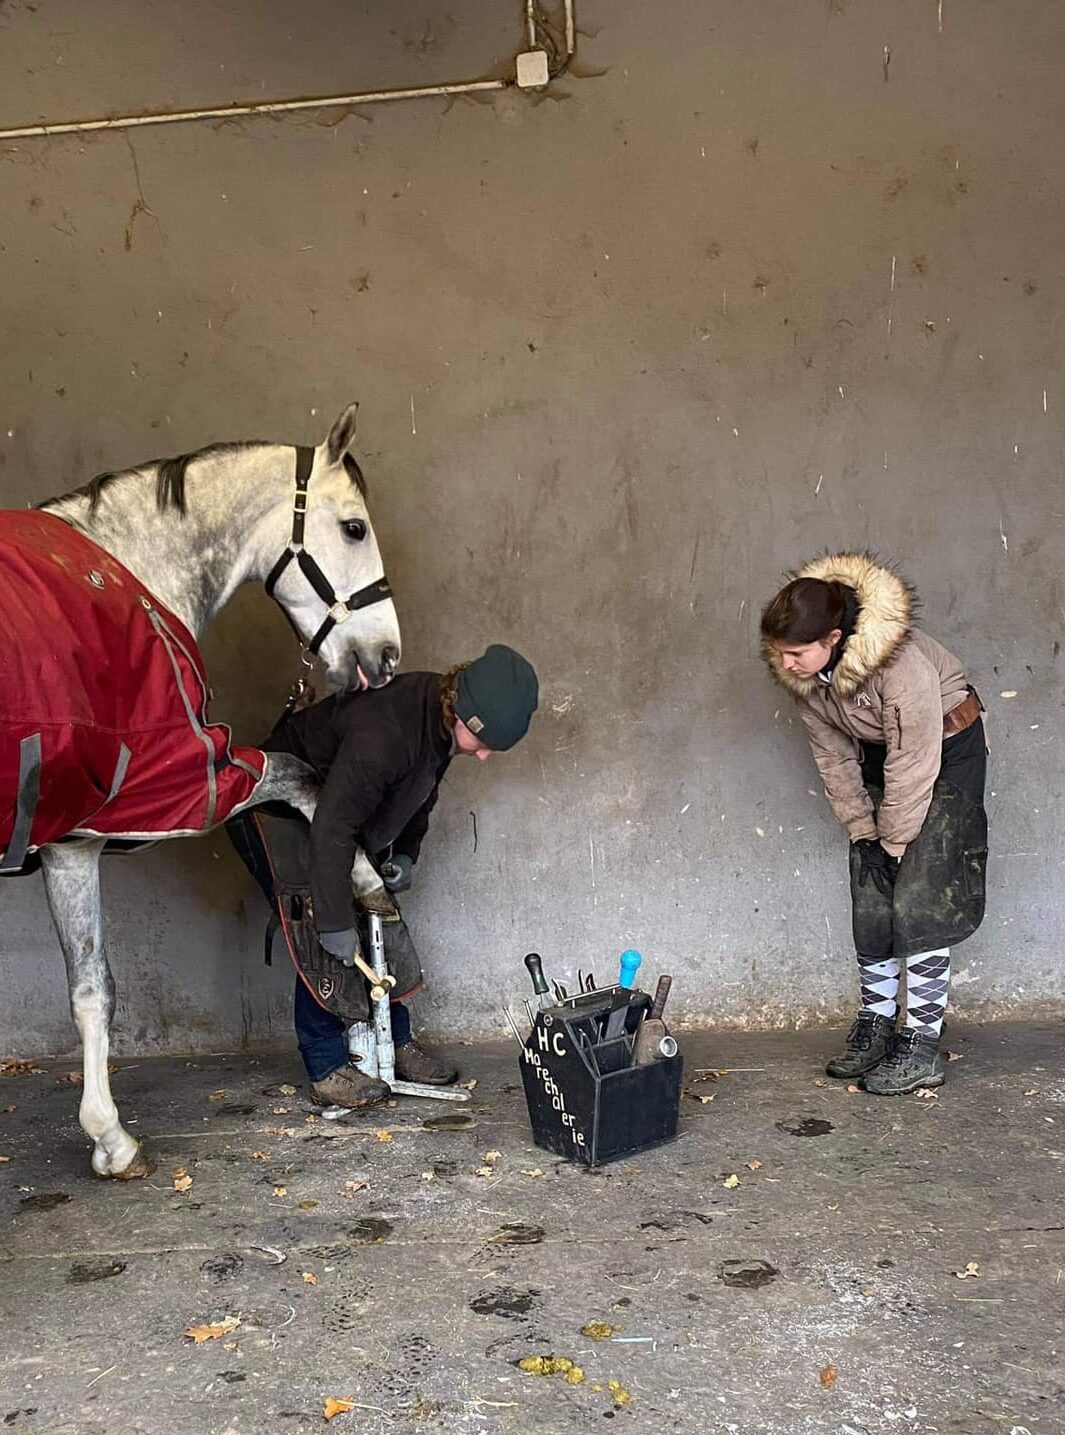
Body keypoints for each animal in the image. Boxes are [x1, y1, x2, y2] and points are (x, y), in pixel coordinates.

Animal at [15, 401, 401, 1176]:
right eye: (354, 528)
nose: (387, 655)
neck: (123, 576)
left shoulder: (68, 841)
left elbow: (86, 987)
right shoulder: (177, 787)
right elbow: (300, 776)